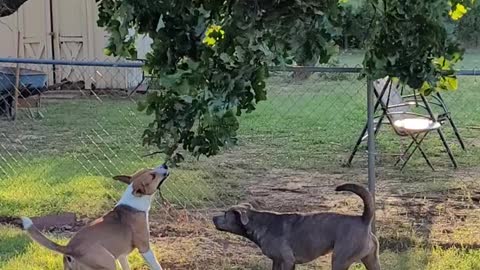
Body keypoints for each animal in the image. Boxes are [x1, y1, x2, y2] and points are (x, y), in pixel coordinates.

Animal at [20, 165, 171, 270]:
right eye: (152, 175)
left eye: (150, 169)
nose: (165, 165)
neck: (133, 202)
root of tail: (70, 248)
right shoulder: (145, 248)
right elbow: (156, 266)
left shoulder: (122, 255)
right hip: (108, 263)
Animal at [213, 184, 378, 270]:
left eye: (225, 214)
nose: (213, 218)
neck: (260, 223)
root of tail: (364, 220)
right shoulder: (277, 261)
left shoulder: (287, 261)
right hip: (371, 260)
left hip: (340, 260)